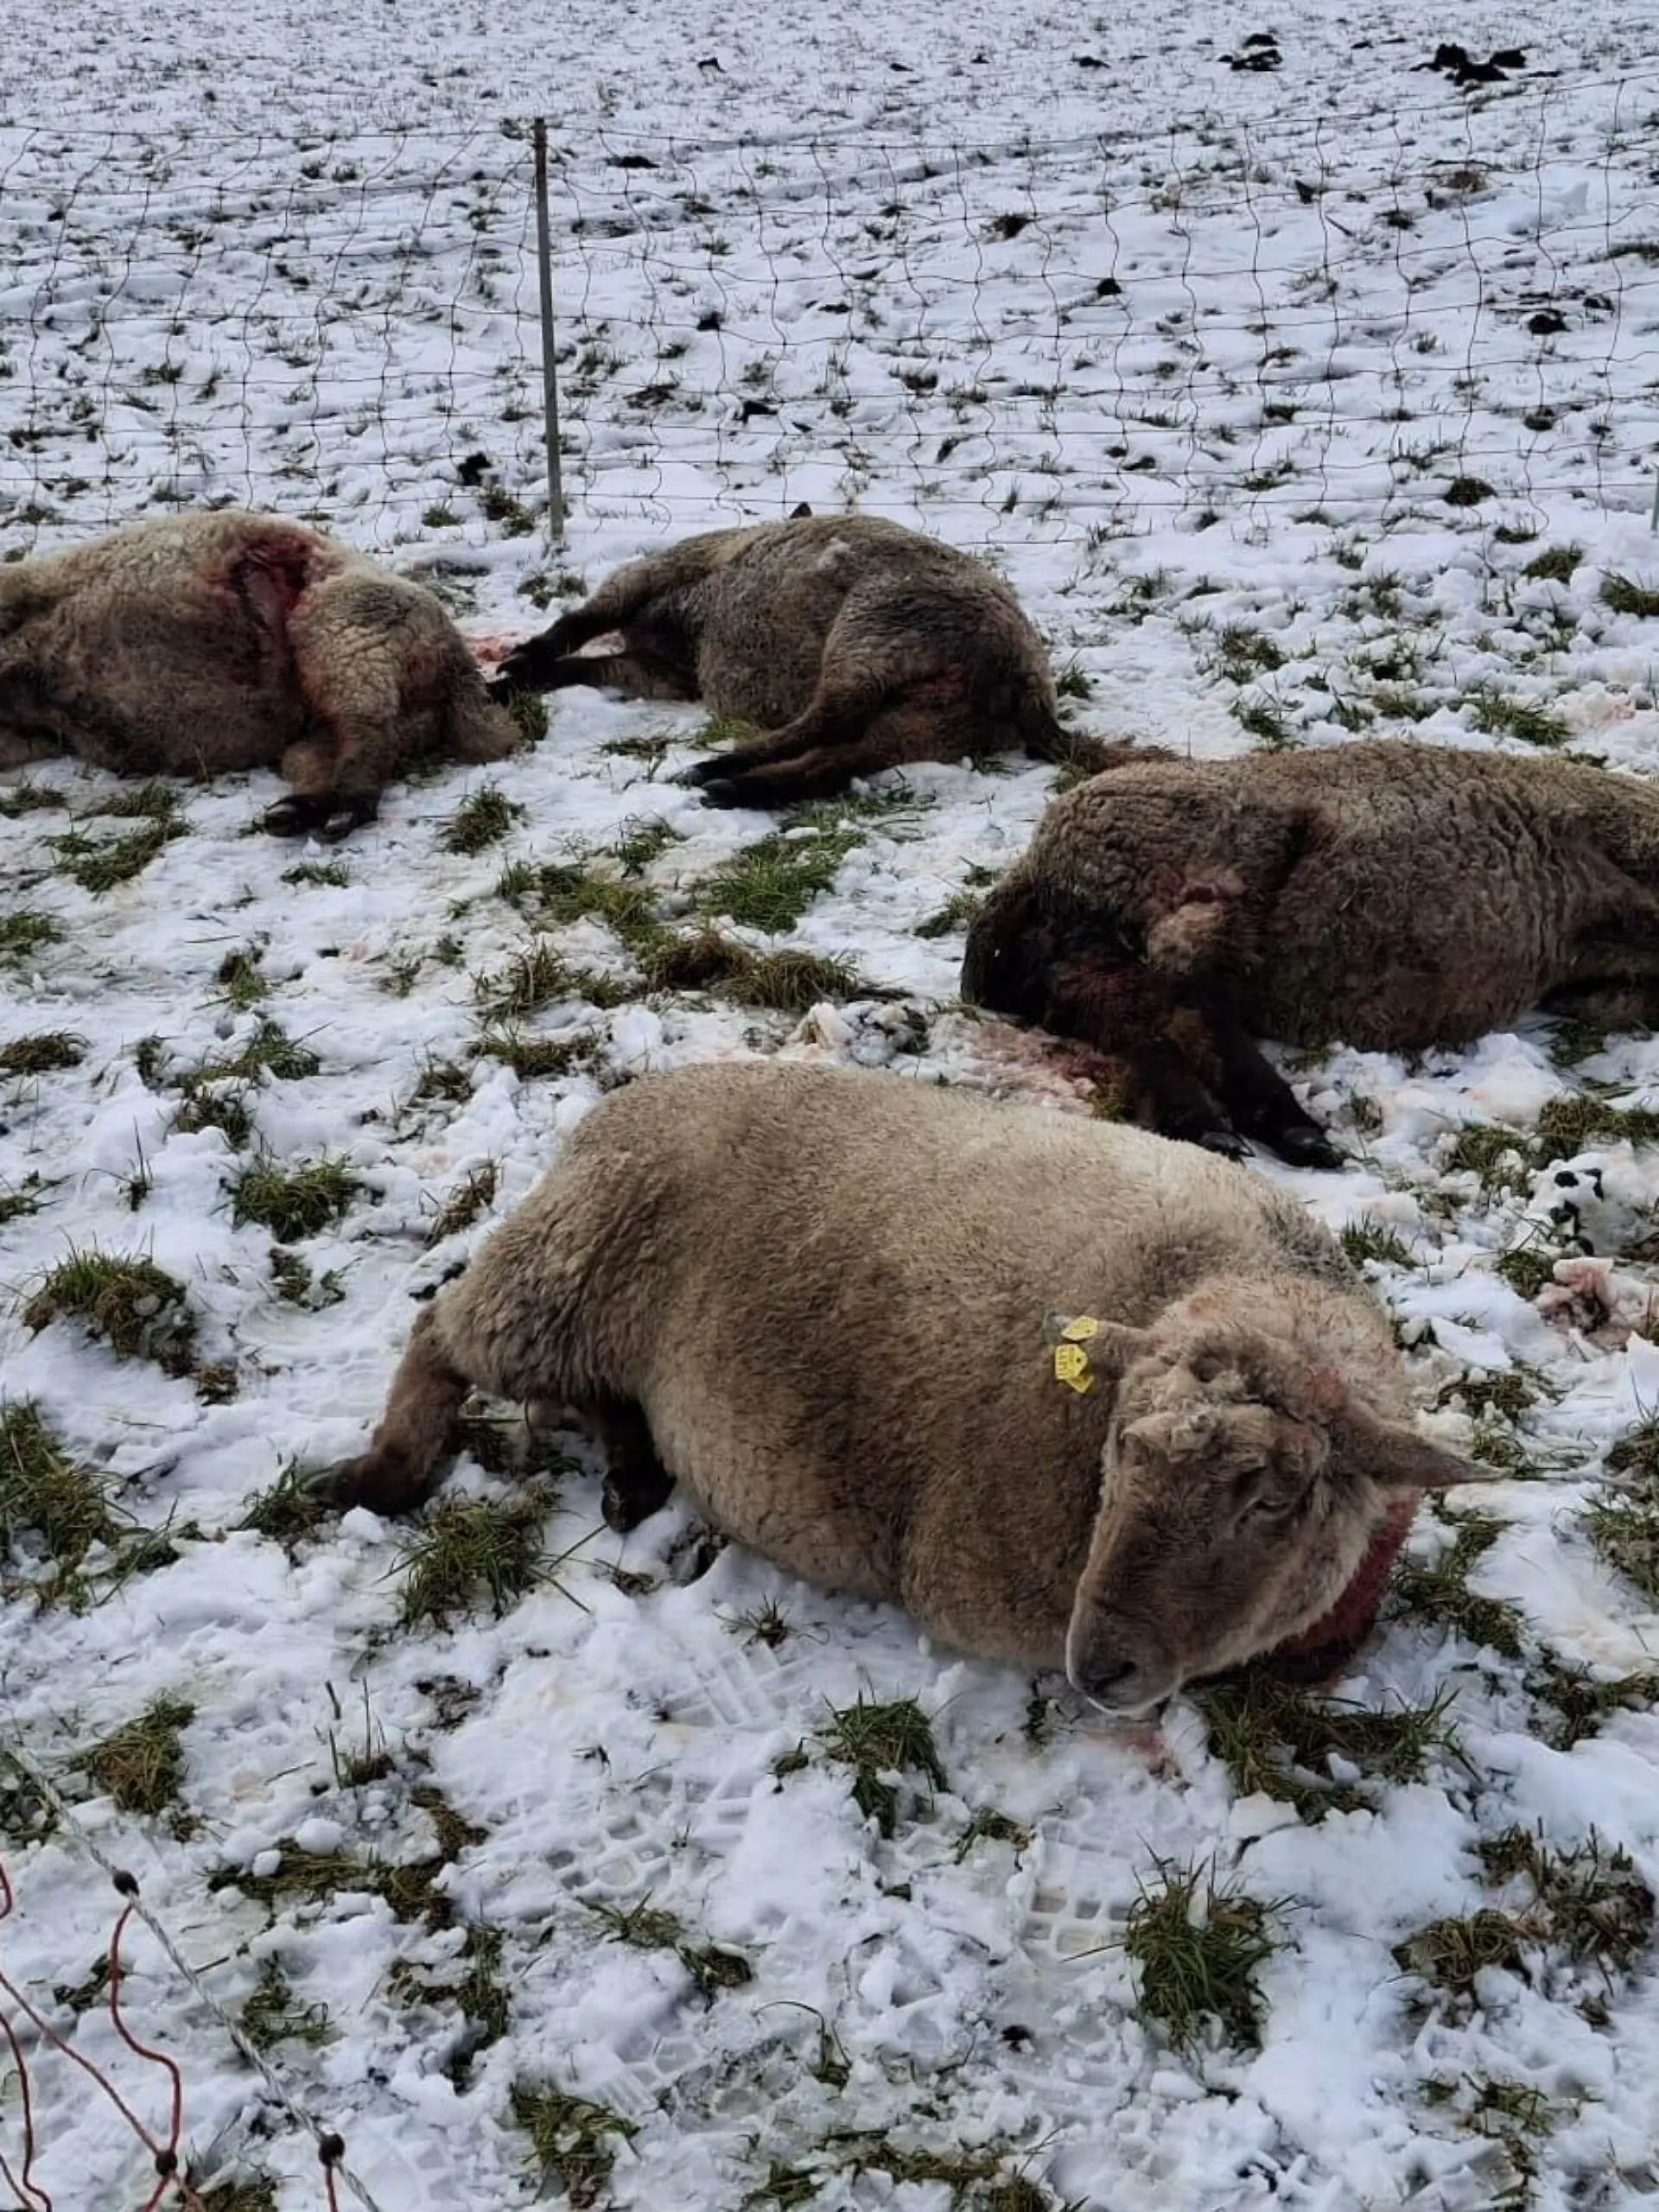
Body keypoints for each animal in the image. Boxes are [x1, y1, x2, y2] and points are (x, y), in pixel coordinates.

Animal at [0, 510, 518, 838]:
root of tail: (459, 673)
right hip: (355, 714)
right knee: (329, 754)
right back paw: (296, 813)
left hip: (346, 628)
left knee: (368, 735)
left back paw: (338, 815)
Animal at [324, 1061, 1478, 1710]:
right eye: (1119, 1449)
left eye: (1272, 1500)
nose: (1097, 1665)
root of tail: (624, 1100)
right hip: (566, 1267)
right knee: (439, 1332)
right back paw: (388, 1472)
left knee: (593, 1388)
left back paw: (634, 1476)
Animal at [488, 513, 1133, 807]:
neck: (684, 627)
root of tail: (1019, 677)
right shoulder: (666, 672)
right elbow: (589, 664)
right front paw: (510, 680)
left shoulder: (666, 569)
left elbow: (582, 620)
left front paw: (509, 671)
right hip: (934, 724)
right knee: (838, 756)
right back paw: (729, 788)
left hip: (871, 632)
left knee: (828, 723)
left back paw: (708, 771)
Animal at [960, 737, 1659, 1168]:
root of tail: (1038, 866)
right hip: (1192, 860)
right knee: (1179, 994)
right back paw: (1252, 1124)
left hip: (1085, 947)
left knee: (1144, 1012)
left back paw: (1248, 1126)